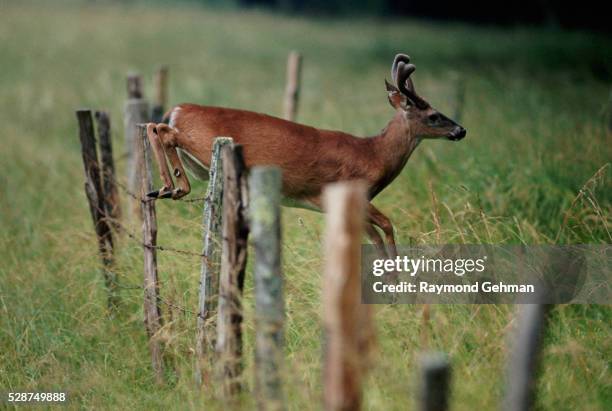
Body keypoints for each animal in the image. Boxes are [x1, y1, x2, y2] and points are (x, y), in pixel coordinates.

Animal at [146, 54, 466, 258]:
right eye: (434, 115)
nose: (461, 130)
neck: (374, 153)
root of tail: (178, 109)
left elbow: (379, 228)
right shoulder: (349, 190)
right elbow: (382, 227)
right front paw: (392, 280)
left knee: (155, 127)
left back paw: (162, 188)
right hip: (201, 143)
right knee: (163, 130)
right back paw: (173, 187)